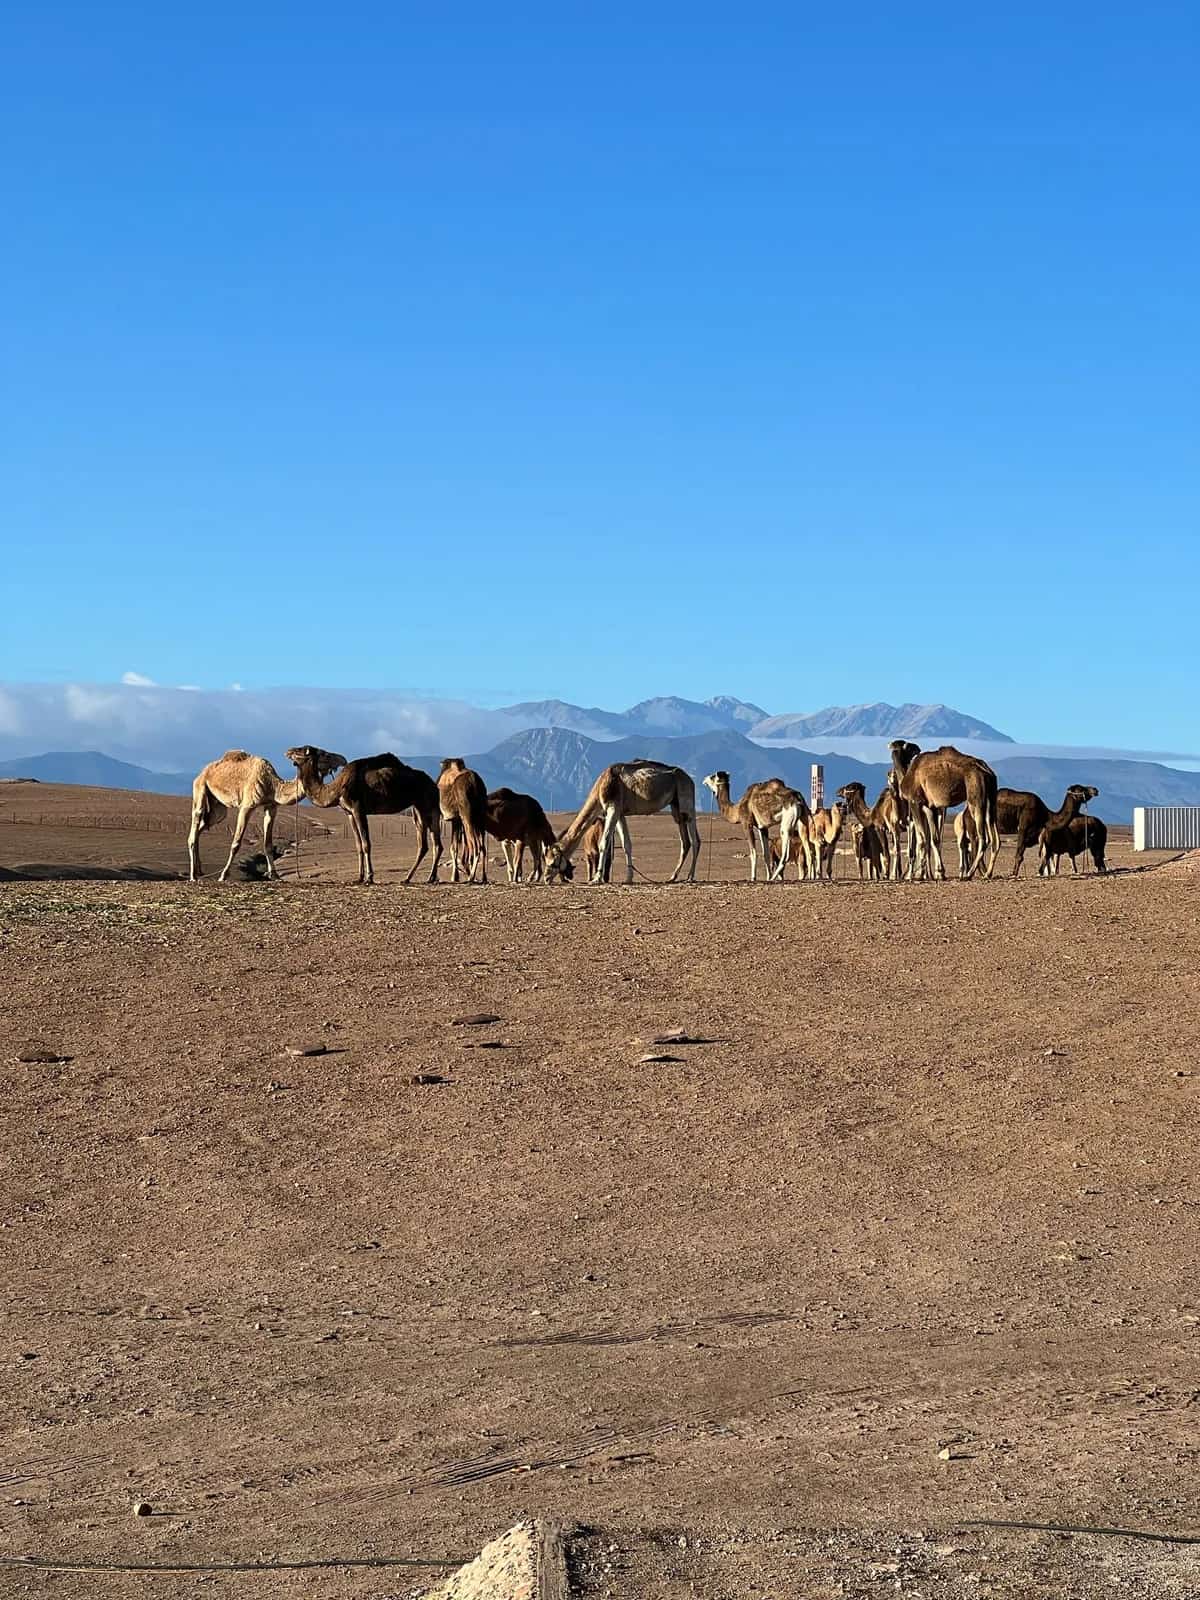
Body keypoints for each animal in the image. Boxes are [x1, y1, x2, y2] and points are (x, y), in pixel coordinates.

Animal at [187, 748, 343, 883]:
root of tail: (202, 772)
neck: (272, 785)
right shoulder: (247, 806)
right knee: (194, 828)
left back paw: (199, 871)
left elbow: (268, 843)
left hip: (218, 809)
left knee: (204, 826)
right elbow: (236, 843)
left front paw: (275, 875)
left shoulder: (271, 807)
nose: (343, 759)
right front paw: (223, 875)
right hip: (201, 789)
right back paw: (193, 876)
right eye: (324, 754)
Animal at [285, 746, 443, 885]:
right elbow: (358, 845)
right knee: (434, 844)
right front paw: (359, 877)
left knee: (428, 844)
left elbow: (366, 844)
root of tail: (434, 785)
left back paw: (416, 877)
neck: (336, 789)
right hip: (418, 807)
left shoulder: (358, 808)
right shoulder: (349, 813)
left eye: (300, 749)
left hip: (426, 805)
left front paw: (369, 877)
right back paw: (425, 877)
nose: (288, 751)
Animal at [544, 761, 701, 884]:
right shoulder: (620, 813)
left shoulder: (612, 807)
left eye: (552, 862)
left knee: (695, 840)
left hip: (686, 799)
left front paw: (597, 878)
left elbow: (604, 841)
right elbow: (627, 844)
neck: (601, 788)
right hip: (676, 807)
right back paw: (672, 877)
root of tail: (690, 780)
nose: (546, 878)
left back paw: (690, 876)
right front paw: (628, 878)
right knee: (685, 841)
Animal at [888, 740, 1000, 880]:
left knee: (983, 838)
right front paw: (938, 873)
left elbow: (922, 839)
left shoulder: (915, 801)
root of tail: (988, 771)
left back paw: (968, 874)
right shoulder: (930, 806)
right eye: (908, 747)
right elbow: (935, 839)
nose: (917, 748)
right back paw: (987, 874)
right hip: (991, 798)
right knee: (995, 838)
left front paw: (920, 875)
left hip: (976, 794)